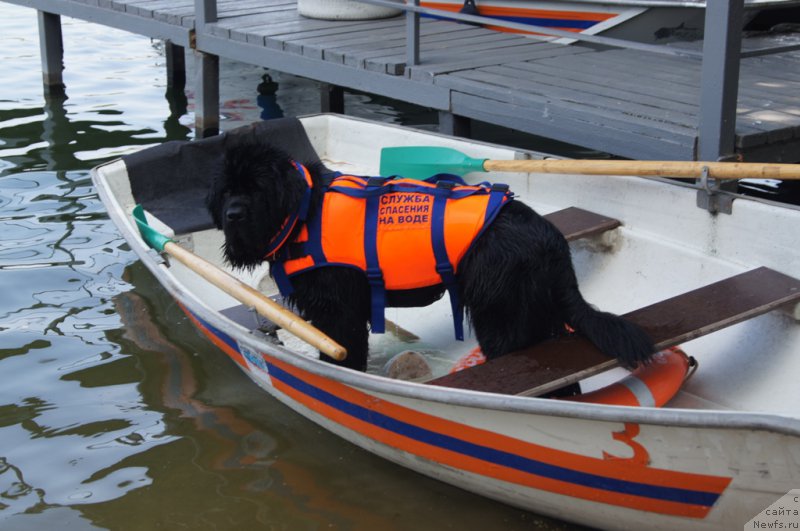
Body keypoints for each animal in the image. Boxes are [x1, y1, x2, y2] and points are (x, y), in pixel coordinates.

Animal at [209, 139, 652, 376]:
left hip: (501, 312)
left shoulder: (339, 311)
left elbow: (345, 351)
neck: (303, 212)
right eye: (228, 190)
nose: (232, 214)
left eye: (257, 187)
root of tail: (550, 236)